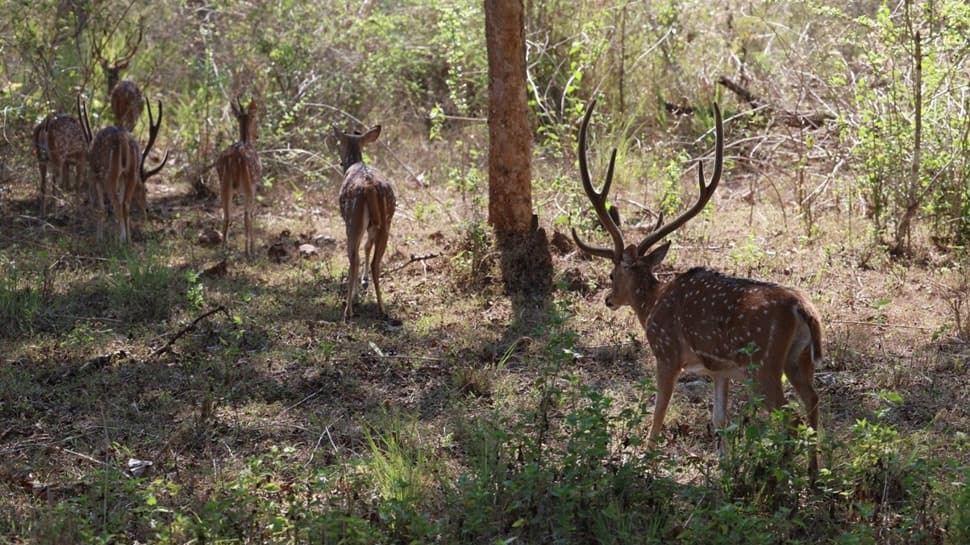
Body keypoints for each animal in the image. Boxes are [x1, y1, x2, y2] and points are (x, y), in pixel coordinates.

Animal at [78, 95, 168, 242]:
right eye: (145, 189)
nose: (147, 210)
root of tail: (123, 139)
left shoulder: (93, 174)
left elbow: (100, 208)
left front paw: (99, 239)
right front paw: (121, 236)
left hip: (110, 174)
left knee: (116, 204)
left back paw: (116, 242)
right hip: (130, 173)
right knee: (124, 203)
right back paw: (128, 241)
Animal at [216, 98, 260, 260]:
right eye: (255, 119)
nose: (257, 135)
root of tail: (234, 158)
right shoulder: (254, 185)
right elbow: (251, 214)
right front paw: (252, 248)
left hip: (223, 184)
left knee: (227, 215)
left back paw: (223, 249)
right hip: (248, 184)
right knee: (247, 214)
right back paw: (249, 252)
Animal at [332, 125, 394, 320]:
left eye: (339, 144)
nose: (340, 162)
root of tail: (370, 187)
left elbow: (358, 255)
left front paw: (356, 294)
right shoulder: (373, 226)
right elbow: (367, 247)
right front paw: (364, 282)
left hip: (353, 220)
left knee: (353, 258)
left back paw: (348, 310)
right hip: (386, 222)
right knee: (376, 262)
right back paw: (382, 308)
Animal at [572, 101, 820, 476]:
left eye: (613, 274)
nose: (608, 299)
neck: (652, 304)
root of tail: (801, 308)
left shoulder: (666, 353)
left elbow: (658, 412)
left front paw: (645, 460)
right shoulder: (720, 370)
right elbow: (720, 420)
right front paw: (725, 470)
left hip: (763, 363)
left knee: (788, 418)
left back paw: (780, 476)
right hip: (798, 358)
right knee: (814, 403)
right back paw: (815, 474)